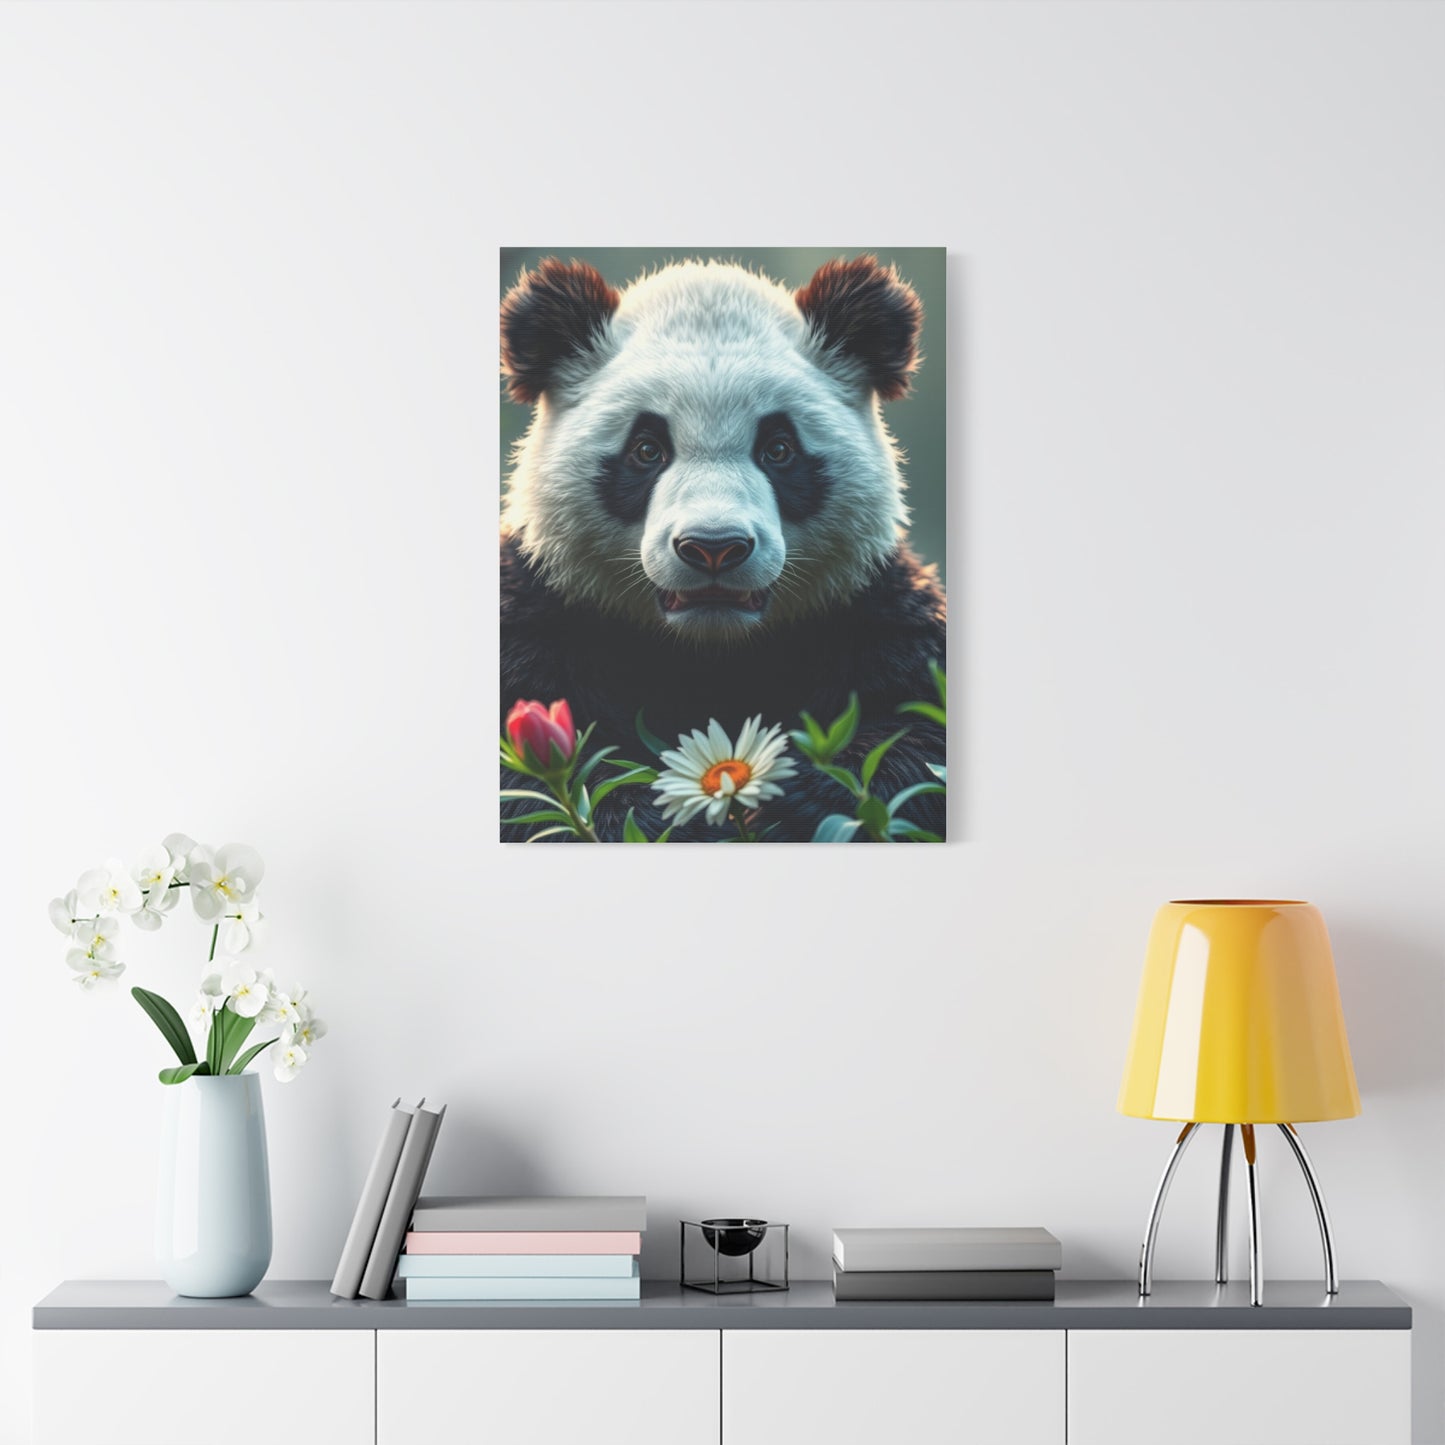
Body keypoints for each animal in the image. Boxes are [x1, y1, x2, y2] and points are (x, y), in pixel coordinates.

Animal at [500, 253, 946, 841]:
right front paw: (662, 815)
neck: (710, 651)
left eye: (778, 449)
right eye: (647, 450)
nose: (714, 548)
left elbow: (921, 734)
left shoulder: (870, 607)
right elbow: (530, 788)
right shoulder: (541, 610)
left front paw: (793, 797)